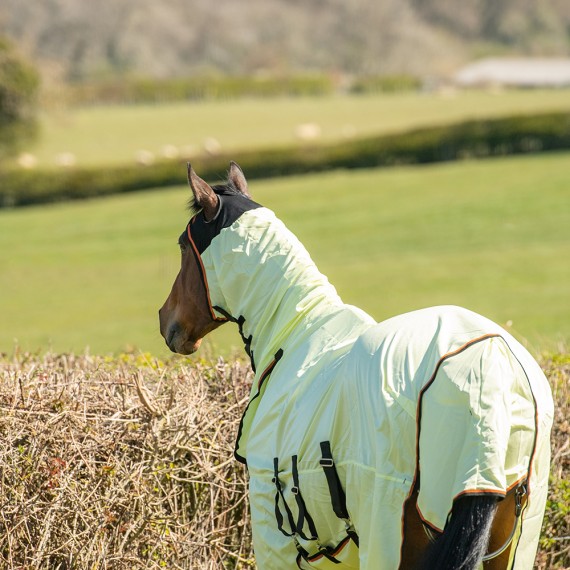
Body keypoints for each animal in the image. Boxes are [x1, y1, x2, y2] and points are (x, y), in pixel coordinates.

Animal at [159, 162, 552, 564]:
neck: (292, 331)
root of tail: (489, 361)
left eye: (182, 246)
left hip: (386, 527)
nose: (164, 318)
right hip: (516, 539)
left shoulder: (274, 534)